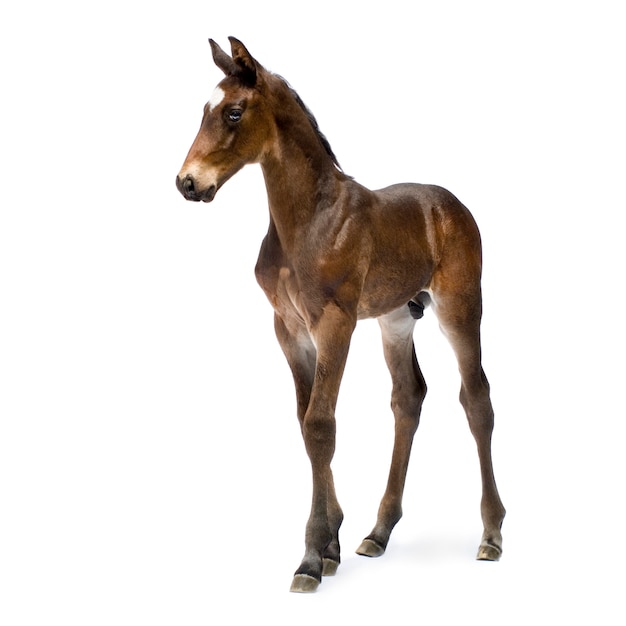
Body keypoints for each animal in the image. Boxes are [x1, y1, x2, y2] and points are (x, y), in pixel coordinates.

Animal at [174, 36, 502, 592]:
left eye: (234, 112)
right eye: (203, 110)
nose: (187, 183)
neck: (308, 222)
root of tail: (450, 205)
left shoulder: (335, 322)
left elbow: (321, 425)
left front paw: (310, 557)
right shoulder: (289, 329)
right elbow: (305, 422)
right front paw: (331, 544)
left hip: (460, 308)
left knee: (476, 398)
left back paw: (492, 535)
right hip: (397, 318)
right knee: (408, 398)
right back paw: (378, 531)